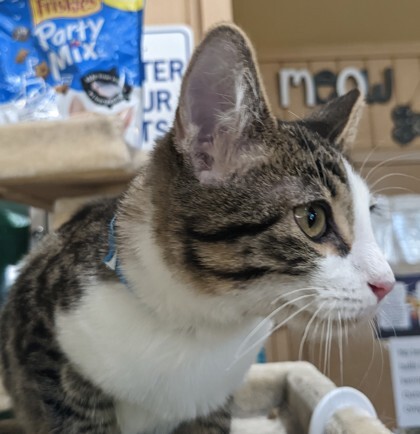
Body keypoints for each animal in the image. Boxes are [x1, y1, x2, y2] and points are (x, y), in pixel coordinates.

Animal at [0, 24, 396, 434]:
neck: (199, 325)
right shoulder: (46, 346)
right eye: (313, 219)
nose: (388, 283)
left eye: (370, 215)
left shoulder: (215, 400)